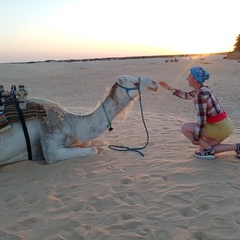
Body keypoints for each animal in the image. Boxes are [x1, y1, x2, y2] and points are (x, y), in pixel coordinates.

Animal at [0, 75, 158, 165]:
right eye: (135, 83)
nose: (155, 83)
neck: (72, 122)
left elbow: (89, 143)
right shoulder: (51, 147)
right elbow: (93, 149)